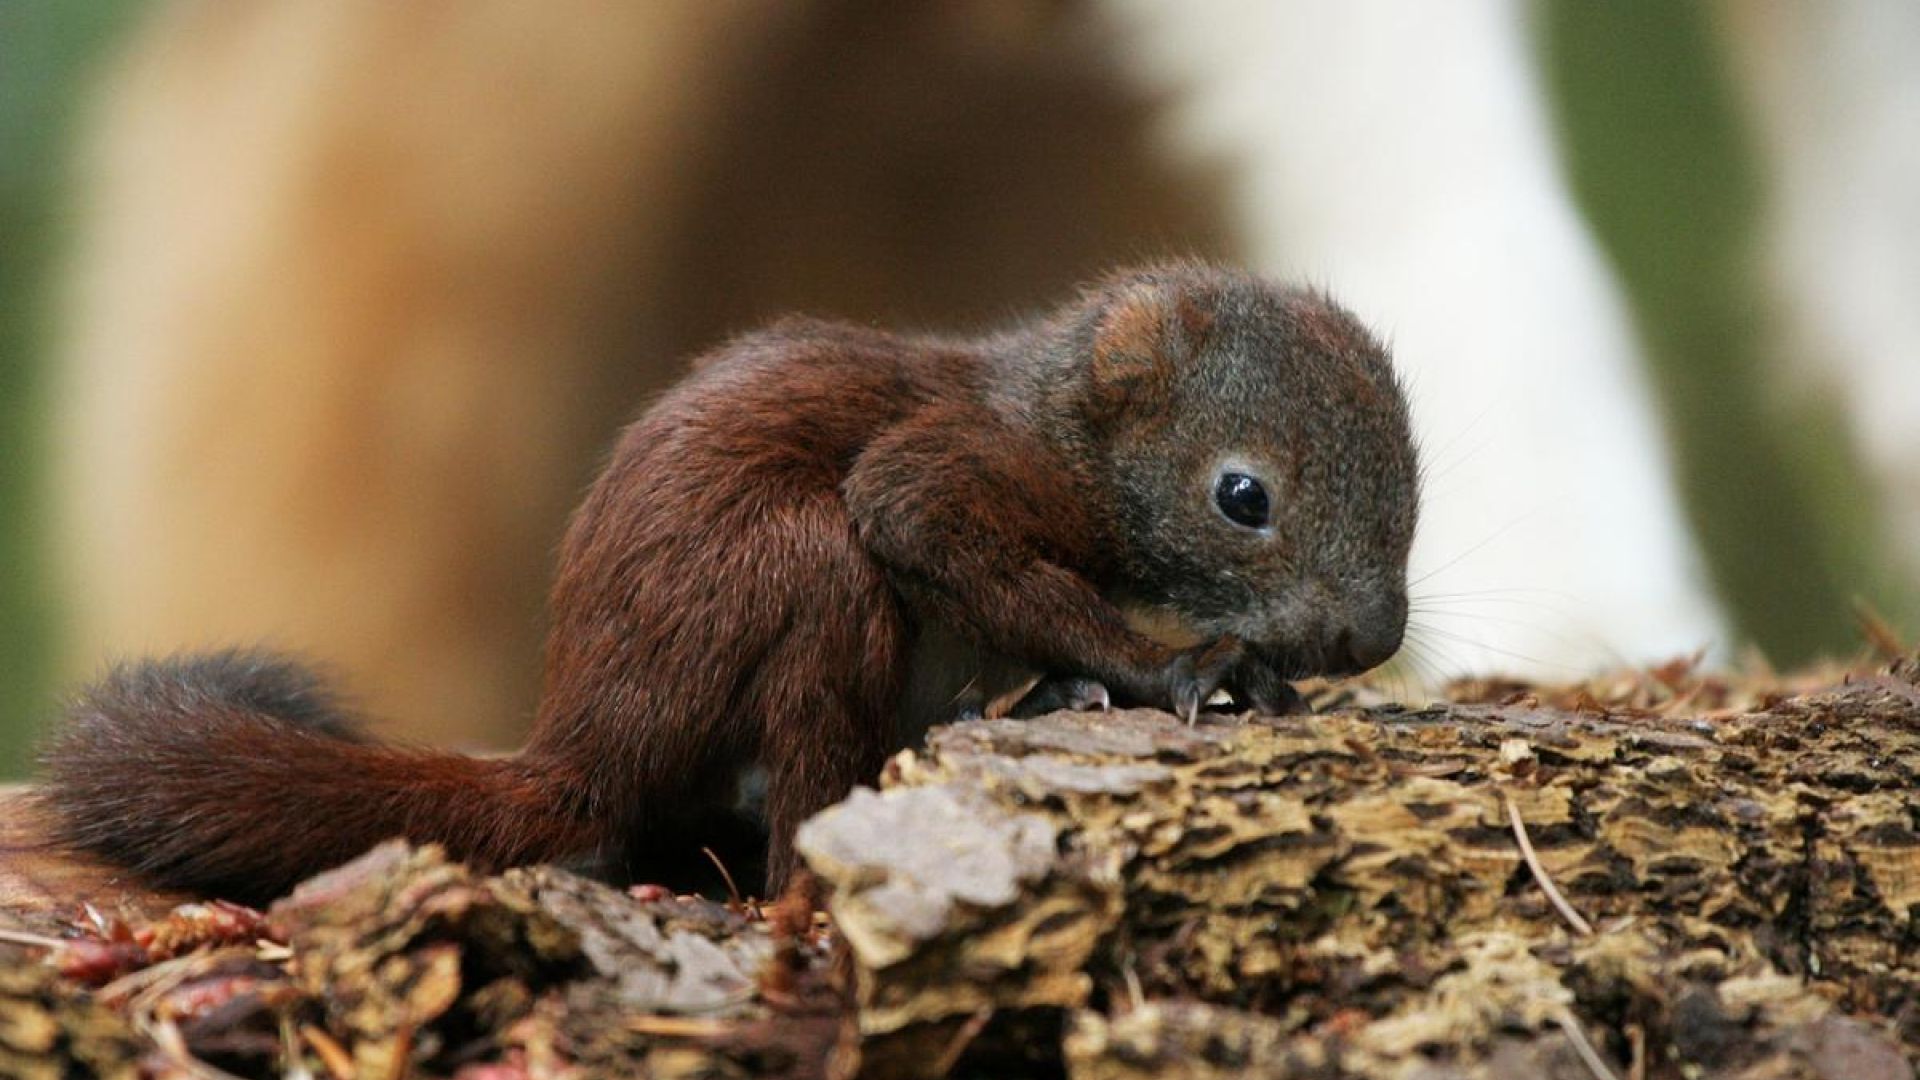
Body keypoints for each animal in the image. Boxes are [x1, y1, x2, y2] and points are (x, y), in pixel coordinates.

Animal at [41, 263, 1428, 899]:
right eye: (1242, 496)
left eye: (1414, 483)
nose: (1369, 638)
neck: (1057, 423)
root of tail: (584, 737)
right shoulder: (944, 473)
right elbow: (926, 521)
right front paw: (1177, 665)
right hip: (806, 573)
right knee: (796, 806)